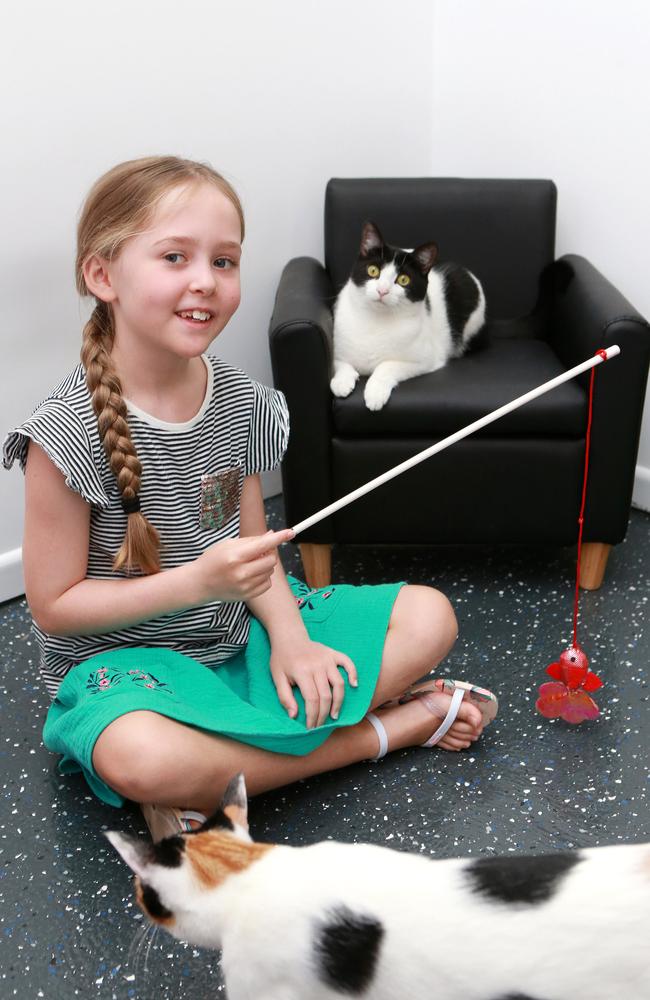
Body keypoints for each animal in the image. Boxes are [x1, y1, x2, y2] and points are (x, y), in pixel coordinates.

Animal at [332, 223, 484, 410]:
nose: (382, 290)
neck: (376, 320)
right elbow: (338, 362)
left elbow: (386, 365)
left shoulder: (426, 359)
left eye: (403, 280)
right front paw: (342, 381)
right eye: (373, 270)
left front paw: (375, 392)